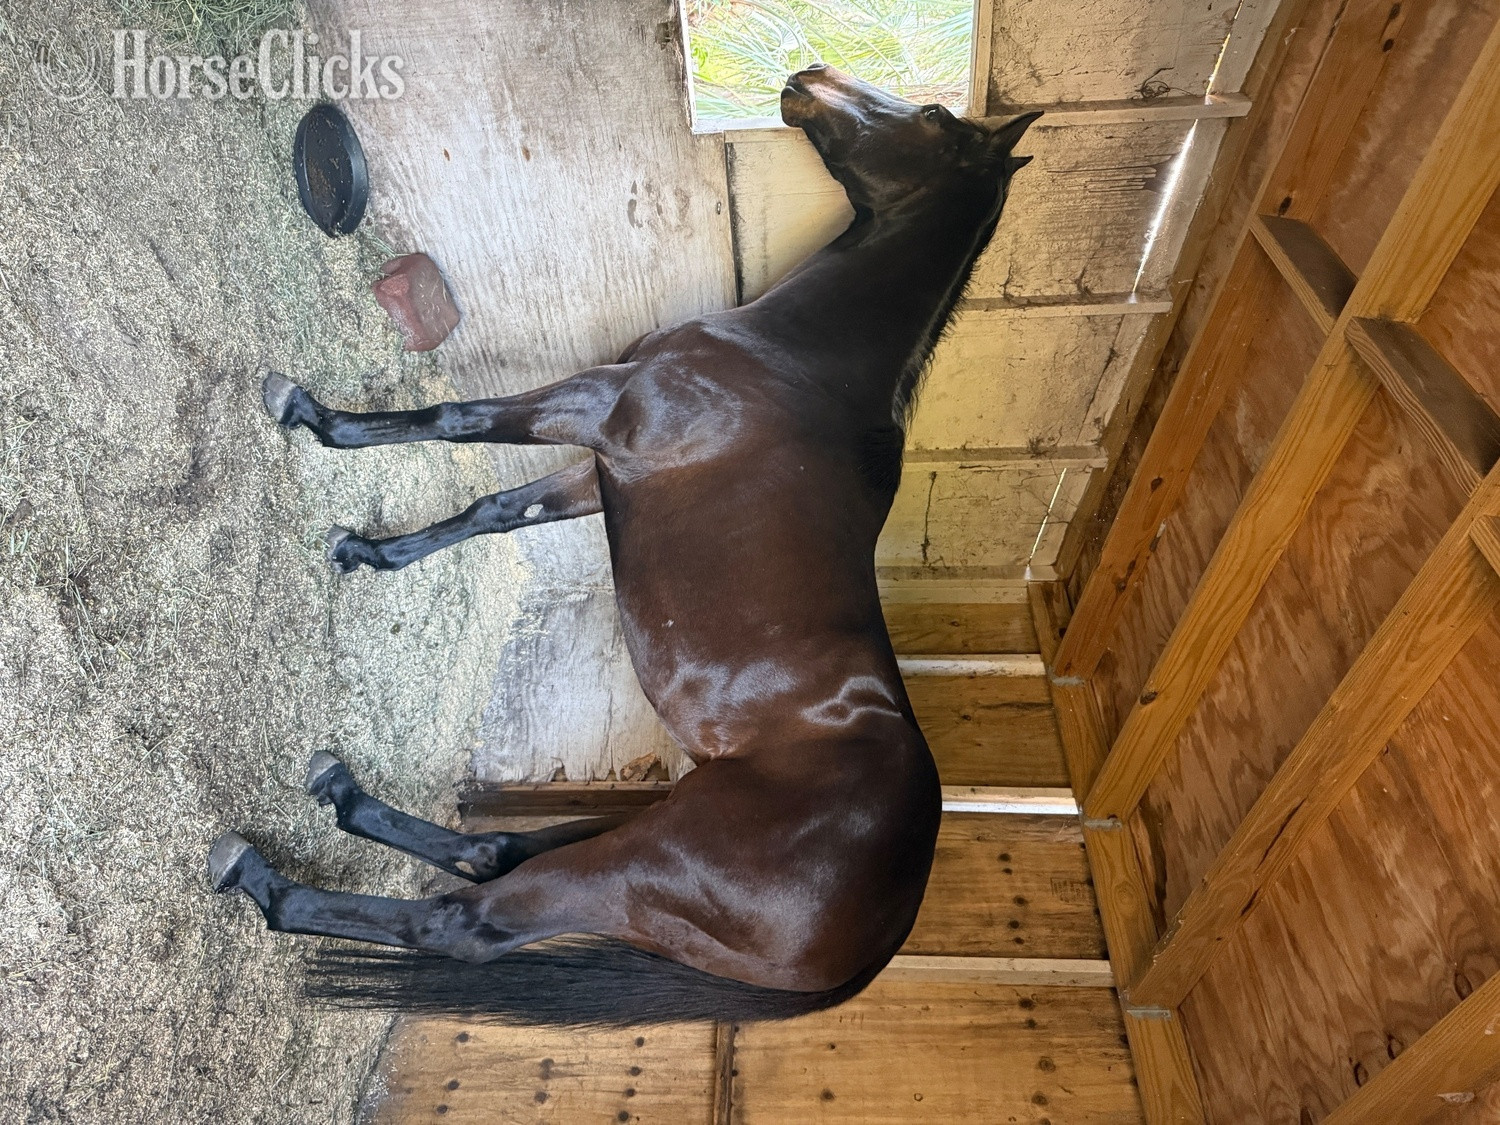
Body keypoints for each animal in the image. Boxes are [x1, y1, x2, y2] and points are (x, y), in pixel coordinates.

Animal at [209, 64, 1039, 1026]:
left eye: (935, 114)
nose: (809, 78)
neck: (798, 360)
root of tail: (878, 935)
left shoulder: (595, 406)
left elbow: (456, 418)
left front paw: (315, 418)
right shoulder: (602, 470)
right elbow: (496, 508)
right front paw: (367, 552)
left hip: (633, 867)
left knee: (464, 921)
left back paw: (259, 876)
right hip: (634, 844)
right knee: (492, 850)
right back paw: (339, 792)